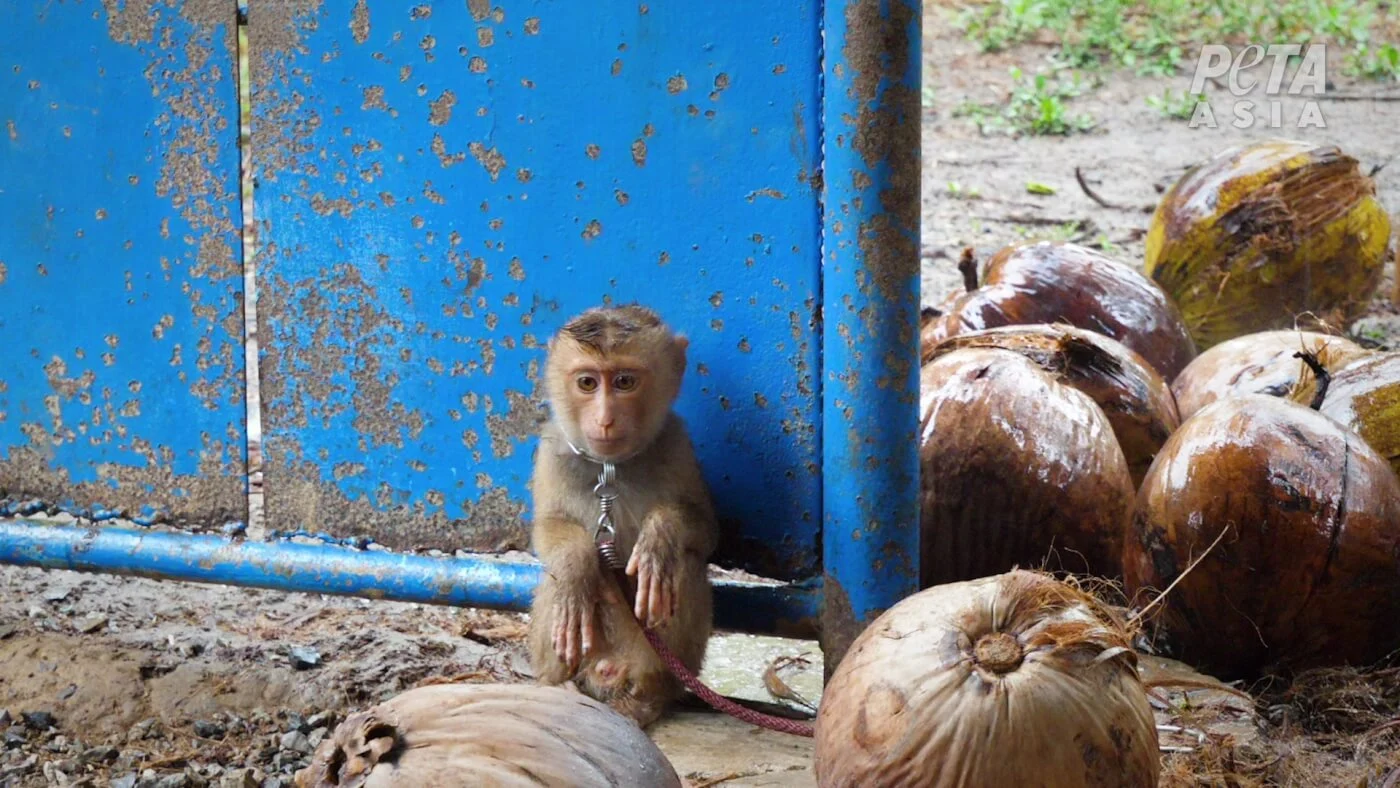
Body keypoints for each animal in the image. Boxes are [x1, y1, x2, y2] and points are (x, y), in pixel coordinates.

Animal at [526, 303, 719, 728]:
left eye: (625, 382)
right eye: (587, 383)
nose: (605, 419)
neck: (610, 468)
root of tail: (606, 671)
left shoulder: (676, 443)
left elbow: (704, 530)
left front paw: (659, 538)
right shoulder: (553, 450)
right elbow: (548, 530)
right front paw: (577, 564)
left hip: (653, 659)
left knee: (683, 567)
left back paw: (646, 697)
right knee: (556, 580)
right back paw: (557, 683)